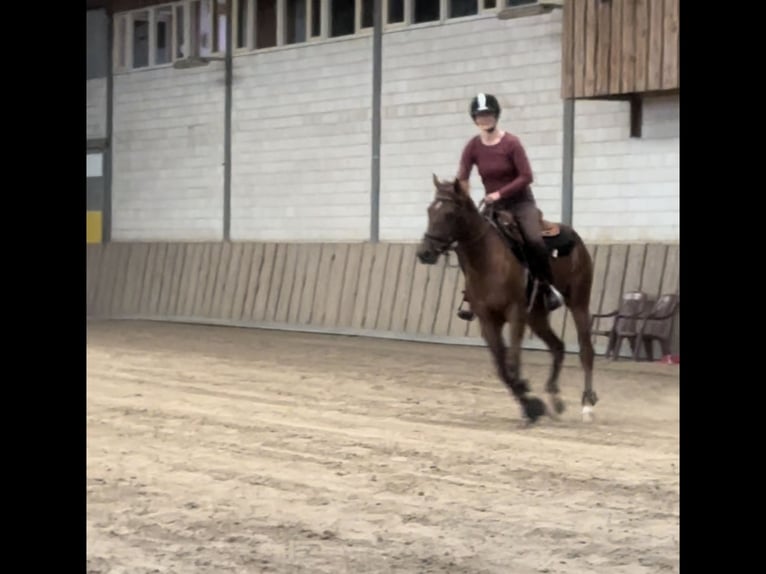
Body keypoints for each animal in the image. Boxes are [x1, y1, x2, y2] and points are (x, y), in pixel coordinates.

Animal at [414, 176, 600, 428]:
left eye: (450, 214)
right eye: (429, 210)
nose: (424, 253)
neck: (486, 260)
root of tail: (575, 237)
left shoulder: (515, 313)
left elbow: (512, 362)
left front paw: (531, 406)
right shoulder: (487, 320)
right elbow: (502, 367)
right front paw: (531, 406)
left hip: (578, 302)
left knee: (586, 350)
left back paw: (587, 404)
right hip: (537, 316)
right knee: (558, 347)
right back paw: (555, 399)